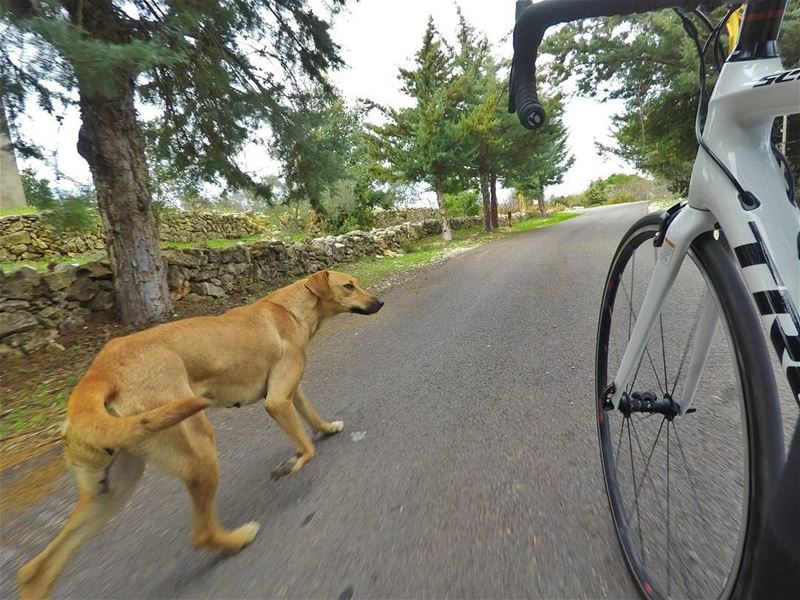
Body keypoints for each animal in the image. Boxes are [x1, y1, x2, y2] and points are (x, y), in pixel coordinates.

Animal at [16, 270, 384, 596]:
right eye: (349, 286)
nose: (379, 302)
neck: (290, 308)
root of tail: (98, 374)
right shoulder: (277, 401)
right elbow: (307, 448)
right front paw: (292, 464)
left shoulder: (288, 392)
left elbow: (311, 417)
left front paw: (328, 428)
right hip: (198, 450)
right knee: (202, 534)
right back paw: (238, 539)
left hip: (111, 491)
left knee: (36, 570)